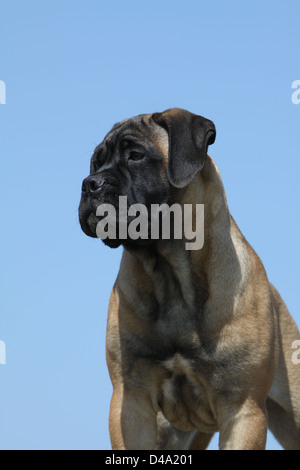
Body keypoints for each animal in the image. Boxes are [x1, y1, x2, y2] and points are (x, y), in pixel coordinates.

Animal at [78, 108, 300, 450]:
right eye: (95, 163)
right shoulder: (131, 401)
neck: (171, 275)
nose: (90, 184)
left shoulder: (242, 409)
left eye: (136, 155)